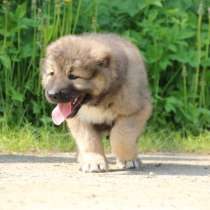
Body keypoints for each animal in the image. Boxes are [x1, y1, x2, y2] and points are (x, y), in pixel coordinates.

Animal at [41, 33, 152, 172]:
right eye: (52, 73)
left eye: (73, 76)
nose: (51, 94)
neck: (98, 101)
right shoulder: (79, 119)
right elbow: (89, 141)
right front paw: (93, 162)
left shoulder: (136, 111)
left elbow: (121, 136)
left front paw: (127, 160)